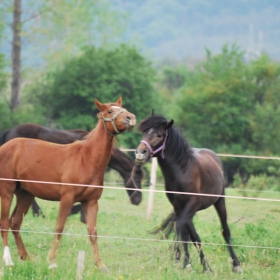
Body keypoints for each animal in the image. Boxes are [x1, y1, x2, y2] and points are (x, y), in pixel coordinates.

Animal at [135, 114, 242, 274]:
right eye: (144, 133)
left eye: (159, 135)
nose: (140, 153)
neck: (183, 171)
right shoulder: (180, 207)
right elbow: (191, 236)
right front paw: (194, 265)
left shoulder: (192, 204)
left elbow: (180, 228)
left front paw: (179, 258)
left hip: (219, 201)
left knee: (226, 231)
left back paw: (236, 264)